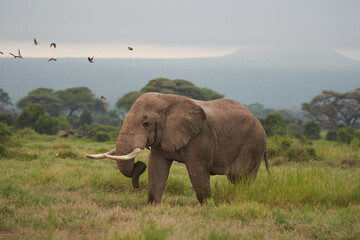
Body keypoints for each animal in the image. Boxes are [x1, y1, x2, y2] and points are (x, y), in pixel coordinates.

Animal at [86, 92, 268, 204]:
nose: (136, 186)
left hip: (253, 144)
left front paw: (208, 207)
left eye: (146, 124)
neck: (167, 100)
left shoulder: (201, 136)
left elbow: (197, 171)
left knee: (239, 176)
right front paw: (152, 208)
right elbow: (156, 169)